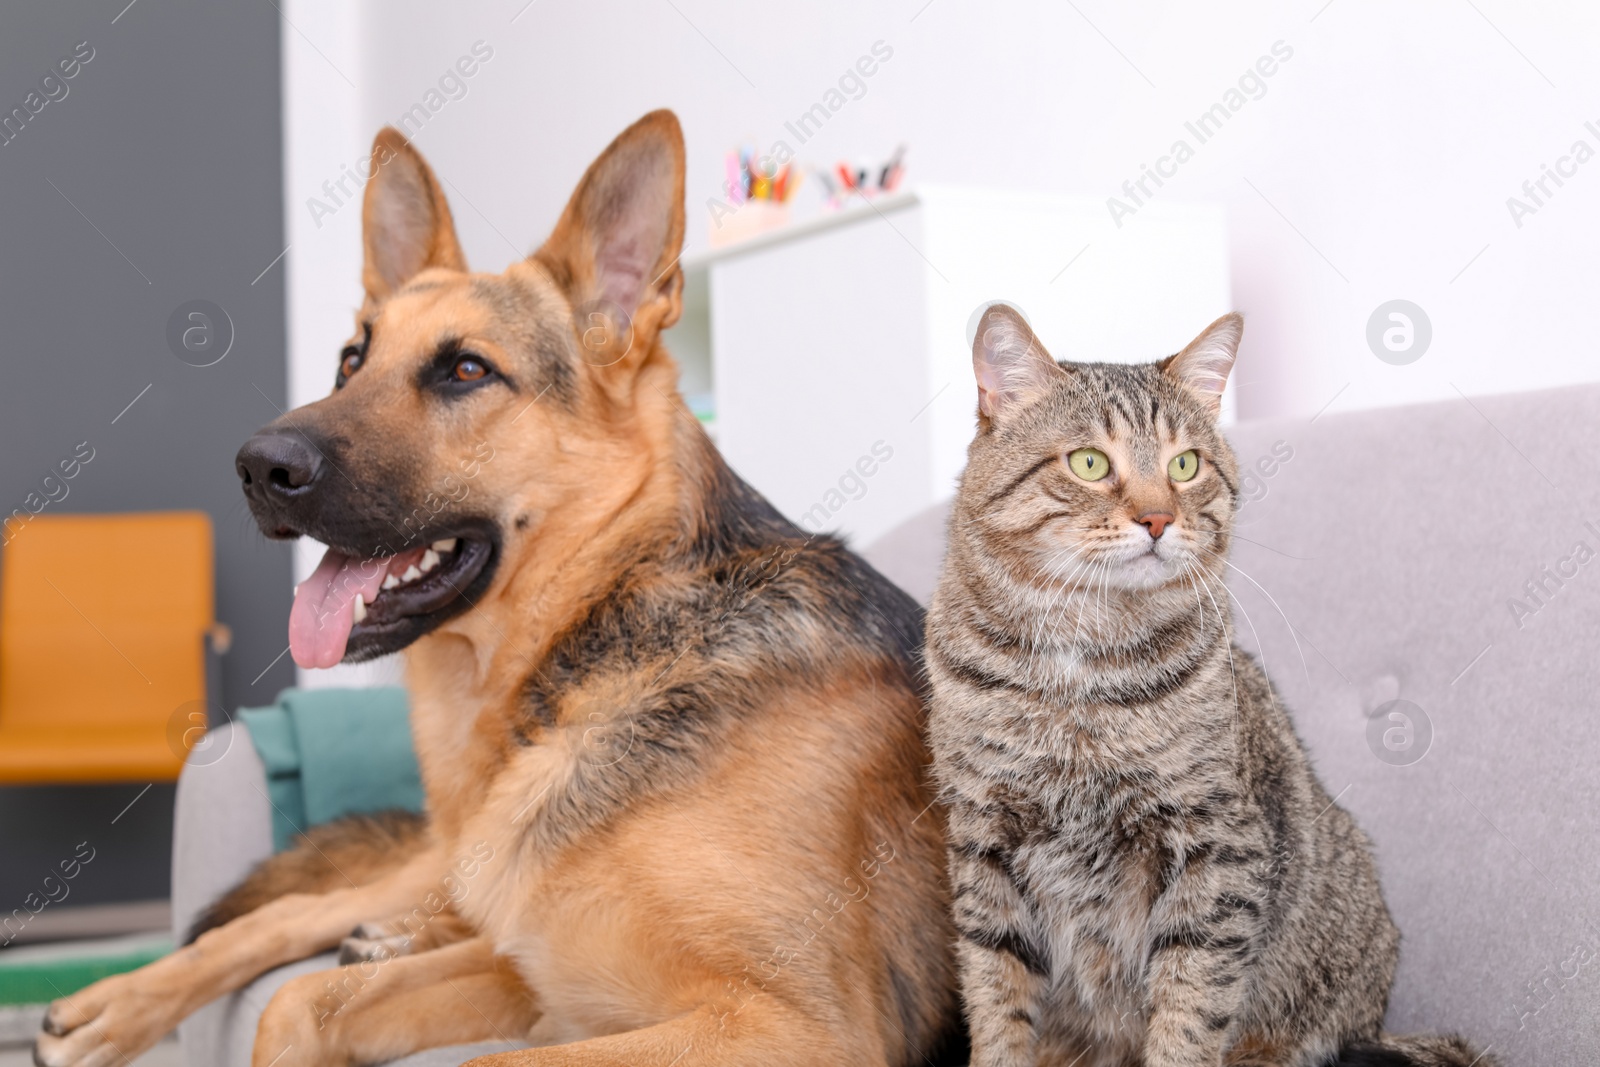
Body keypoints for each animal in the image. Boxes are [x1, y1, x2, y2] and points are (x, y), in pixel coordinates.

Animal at [34, 110, 960, 1067]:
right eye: (350, 360)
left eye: (468, 371)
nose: (257, 467)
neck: (594, 631)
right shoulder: (535, 973)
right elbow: (293, 998)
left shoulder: (786, 1025)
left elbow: (452, 1042)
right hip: (451, 859)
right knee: (299, 910)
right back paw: (120, 1001)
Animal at [921, 303, 1491, 1067]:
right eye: (1089, 463)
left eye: (1184, 465)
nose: (1159, 517)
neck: (1079, 668)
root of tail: (1376, 1023)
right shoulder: (984, 844)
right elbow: (997, 1001)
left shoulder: (1217, 845)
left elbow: (1190, 1008)